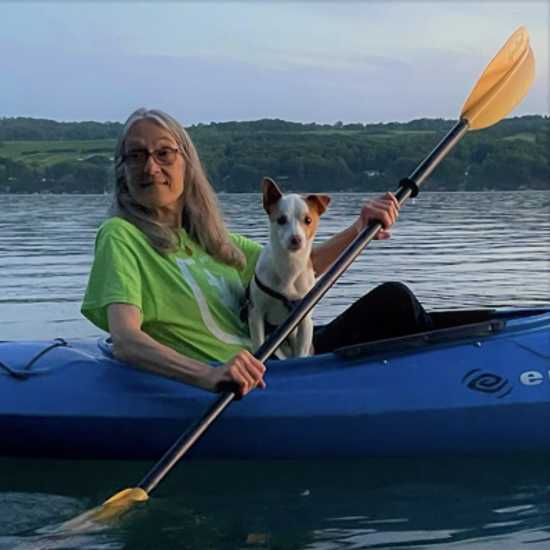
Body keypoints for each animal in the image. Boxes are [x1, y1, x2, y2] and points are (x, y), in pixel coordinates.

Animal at [247, 178, 332, 362]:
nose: (296, 239)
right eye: (281, 219)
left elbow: (301, 352)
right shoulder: (256, 313)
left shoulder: (305, 320)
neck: (290, 266)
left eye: (308, 220)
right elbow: (258, 343)